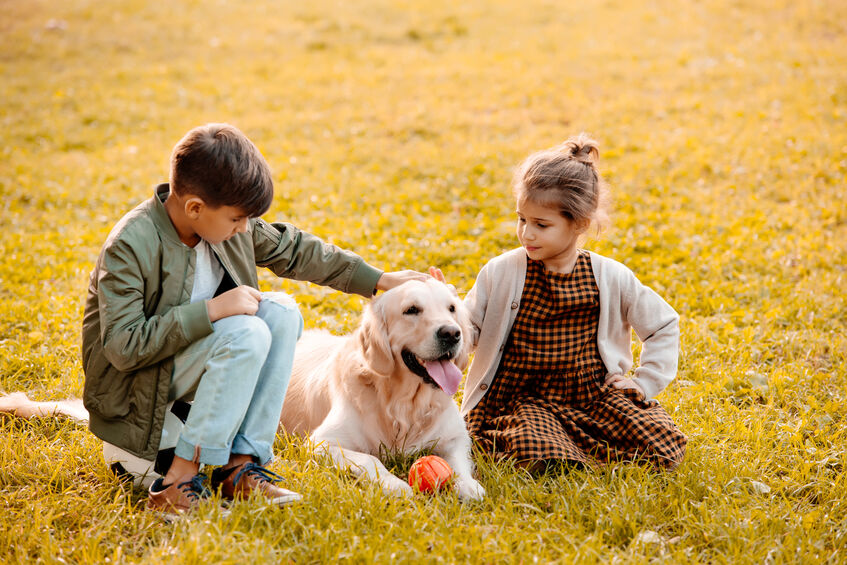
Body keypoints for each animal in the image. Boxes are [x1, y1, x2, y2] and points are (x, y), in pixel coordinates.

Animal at [284, 278, 486, 498]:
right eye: (411, 310)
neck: (405, 405)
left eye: (452, 308)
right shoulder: (321, 443)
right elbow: (369, 458)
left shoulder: (457, 437)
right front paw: (395, 484)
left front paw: (468, 485)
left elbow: (458, 462)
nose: (452, 333)